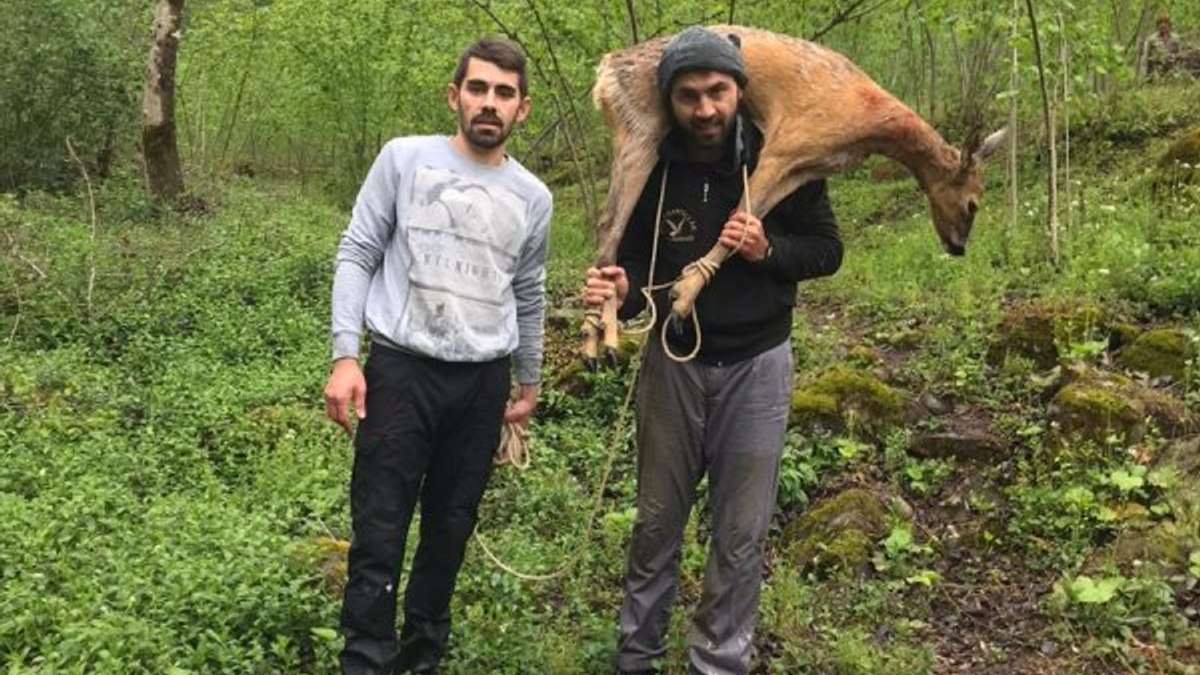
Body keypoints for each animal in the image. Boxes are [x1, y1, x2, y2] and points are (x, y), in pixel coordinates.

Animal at [580, 26, 1003, 365]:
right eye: (973, 203)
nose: (958, 247)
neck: (867, 123)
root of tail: (605, 73)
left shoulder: (803, 166)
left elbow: (747, 220)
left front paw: (687, 291)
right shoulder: (786, 142)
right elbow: (738, 215)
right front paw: (682, 298)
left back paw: (597, 333)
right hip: (642, 126)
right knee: (608, 224)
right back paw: (600, 338)